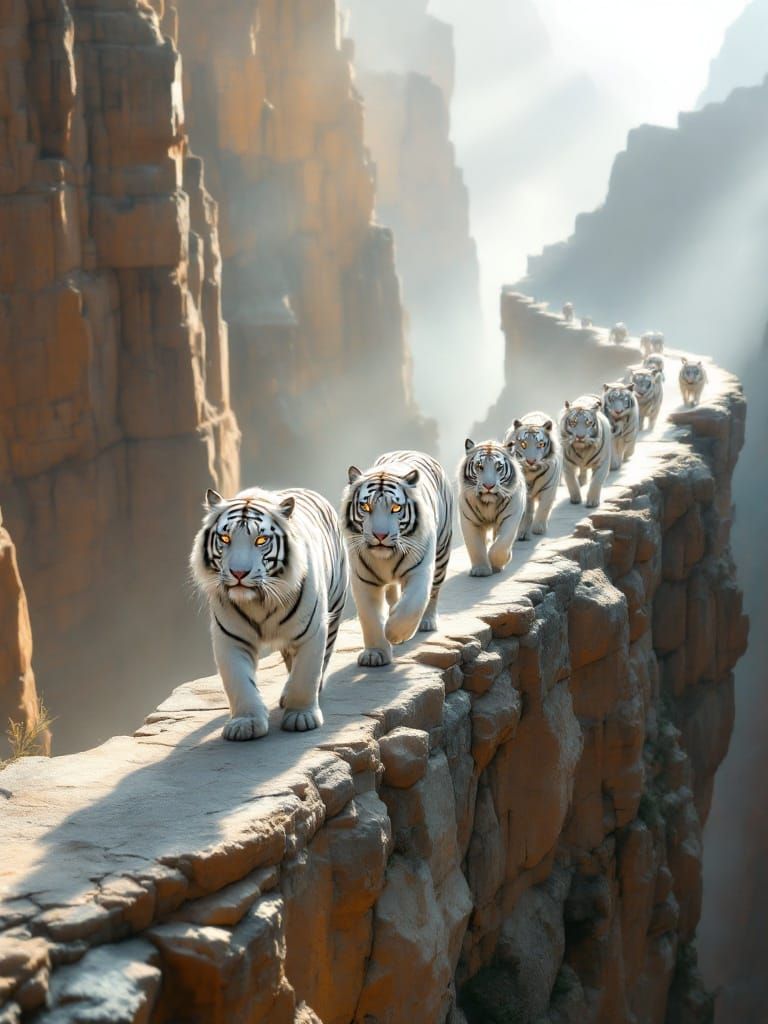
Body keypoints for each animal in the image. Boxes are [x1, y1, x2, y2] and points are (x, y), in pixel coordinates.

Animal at [190, 487, 348, 740]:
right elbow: (239, 681)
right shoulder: (230, 638)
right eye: (225, 539)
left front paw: (301, 716)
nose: (239, 573)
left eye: (261, 540)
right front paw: (245, 723)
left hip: (335, 606)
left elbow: (306, 674)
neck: (259, 602)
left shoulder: (312, 631)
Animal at [342, 451, 453, 667]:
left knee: (433, 592)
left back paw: (427, 621)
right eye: (365, 506)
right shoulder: (362, 579)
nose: (380, 535)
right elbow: (369, 617)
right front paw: (375, 654)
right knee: (392, 594)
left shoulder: (420, 570)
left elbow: (411, 605)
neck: (385, 558)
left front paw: (395, 634)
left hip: (442, 551)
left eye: (395, 508)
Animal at [458, 439, 526, 576]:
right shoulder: (469, 520)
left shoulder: (510, 516)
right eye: (479, 466)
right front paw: (481, 570)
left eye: (498, 467)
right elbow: (475, 546)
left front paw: (497, 563)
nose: (488, 486)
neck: (488, 503)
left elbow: (501, 545)